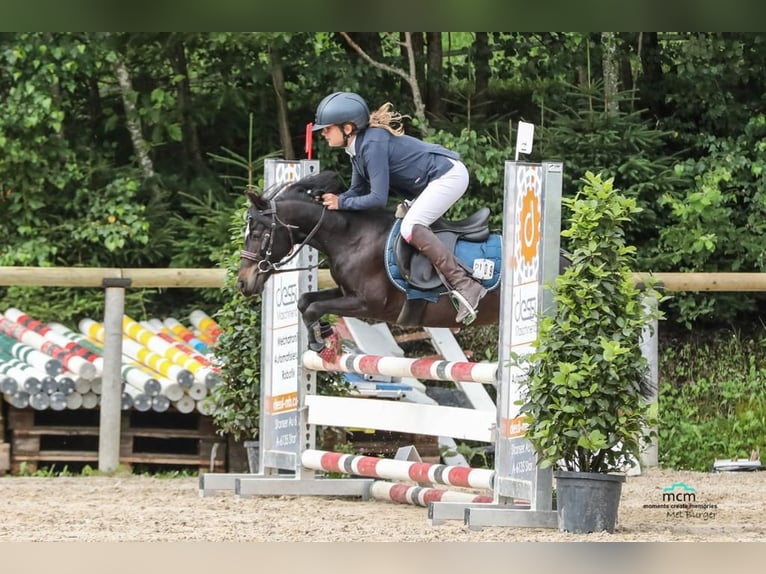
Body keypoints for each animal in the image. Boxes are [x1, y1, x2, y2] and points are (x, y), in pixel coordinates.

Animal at [237, 169, 508, 354]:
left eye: (258, 234)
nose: (242, 283)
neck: (350, 238)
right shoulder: (345, 291)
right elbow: (305, 301)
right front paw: (324, 332)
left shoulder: (369, 304)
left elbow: (313, 307)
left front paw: (318, 342)